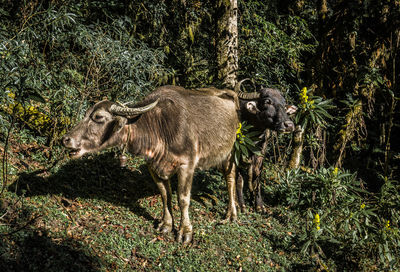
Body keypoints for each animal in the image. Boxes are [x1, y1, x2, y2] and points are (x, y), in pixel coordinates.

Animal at [234, 81, 296, 212]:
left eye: (284, 104)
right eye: (267, 101)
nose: (289, 125)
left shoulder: (261, 150)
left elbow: (257, 175)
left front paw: (259, 204)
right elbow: (239, 179)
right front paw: (240, 204)